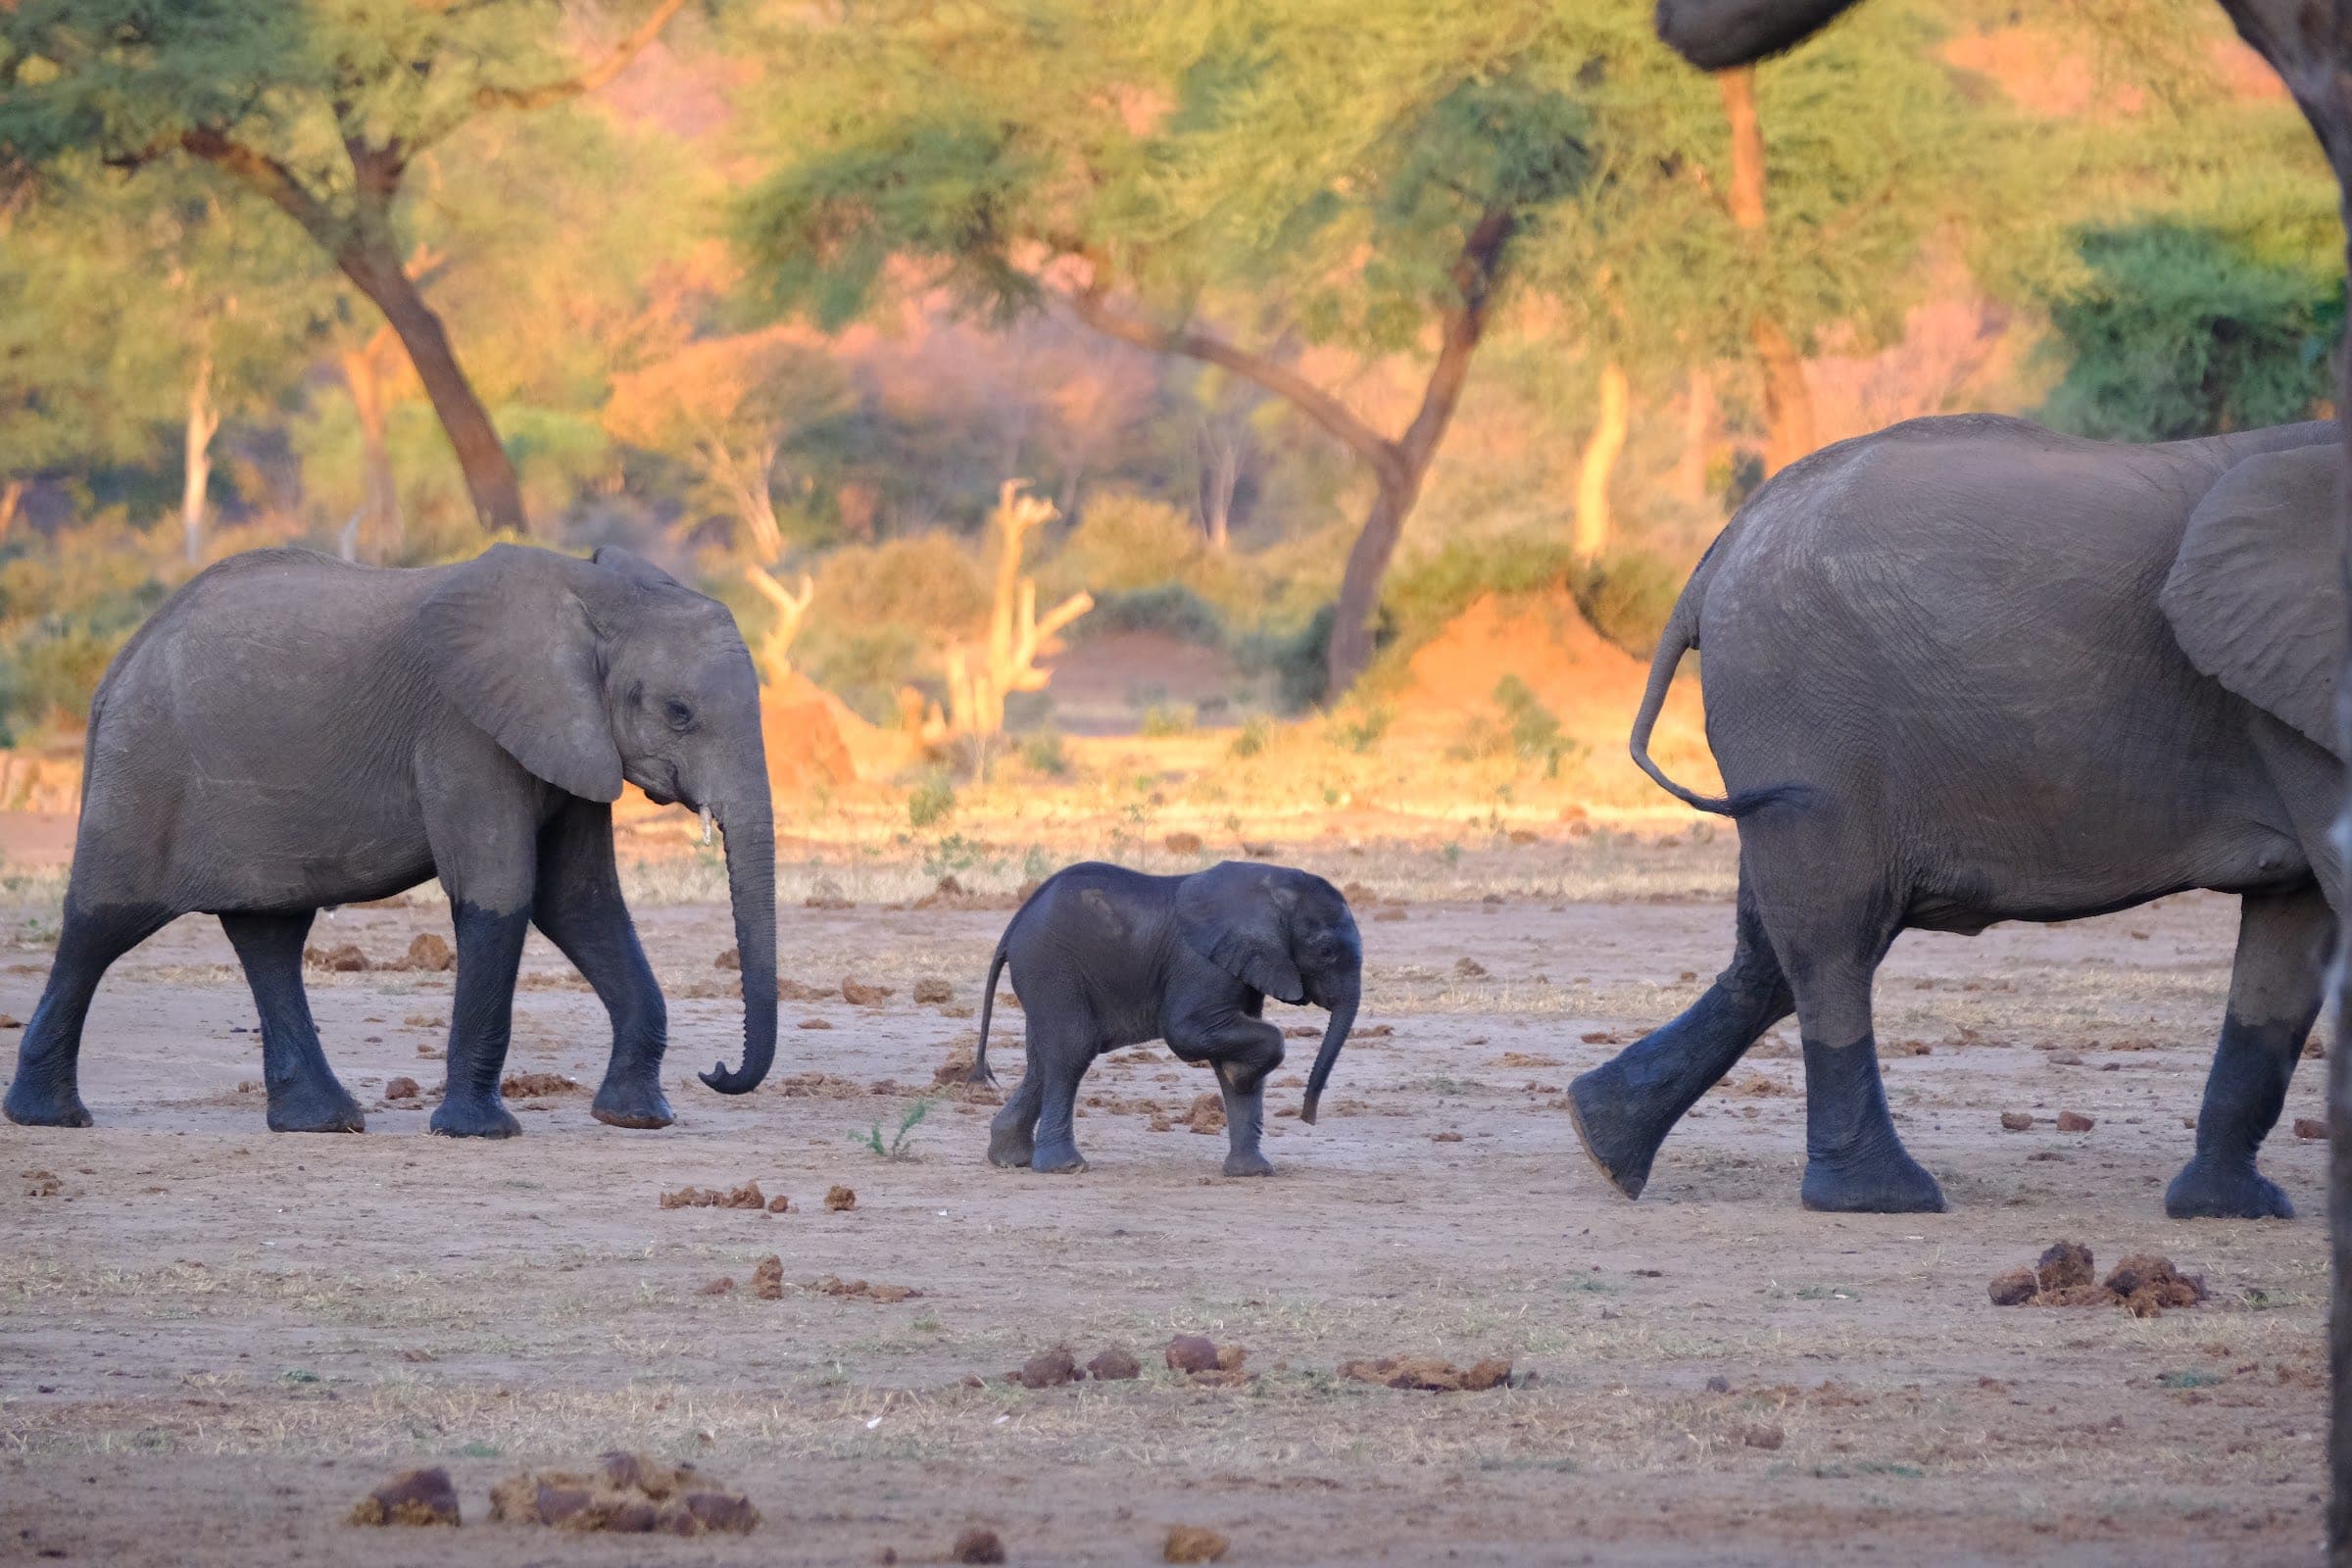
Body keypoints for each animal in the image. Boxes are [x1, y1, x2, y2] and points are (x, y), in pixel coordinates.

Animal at [1, 543, 779, 1138]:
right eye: (678, 713)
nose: (717, 1070)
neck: (594, 593)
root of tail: (117, 665)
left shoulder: (571, 740)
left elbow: (580, 903)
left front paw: (637, 1120)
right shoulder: (465, 732)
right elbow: (502, 894)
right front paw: (478, 1133)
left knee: (269, 935)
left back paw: (321, 1123)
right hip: (143, 771)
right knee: (100, 923)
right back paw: (50, 1118)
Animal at [967, 860, 1362, 1176]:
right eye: (1326, 952)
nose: (1308, 1118)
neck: (1273, 885)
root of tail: (1016, 922)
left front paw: (1253, 1172)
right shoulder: (1202, 965)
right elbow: (1186, 1031)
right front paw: (1243, 1074)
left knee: (1042, 1060)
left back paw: (1010, 1159)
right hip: (1051, 966)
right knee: (1072, 1050)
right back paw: (1064, 1167)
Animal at [1567, 414, 2344, 1217]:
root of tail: (1715, 558)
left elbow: (2292, 936)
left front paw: (2234, 1210)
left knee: (1776, 949)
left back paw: (1602, 1141)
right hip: (1807, 715)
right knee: (1833, 938)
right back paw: (1881, 1197)